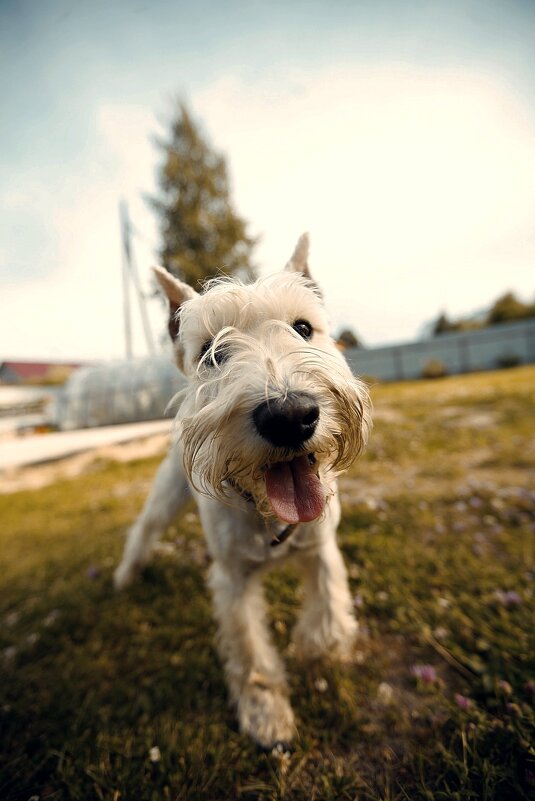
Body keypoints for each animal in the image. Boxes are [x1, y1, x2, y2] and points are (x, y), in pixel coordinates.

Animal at [114, 234, 370, 748]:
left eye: (303, 328)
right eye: (211, 352)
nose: (290, 415)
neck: (267, 511)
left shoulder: (322, 548)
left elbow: (329, 609)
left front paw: (318, 650)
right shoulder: (231, 577)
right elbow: (250, 650)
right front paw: (266, 712)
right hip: (167, 495)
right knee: (143, 530)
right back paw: (126, 575)